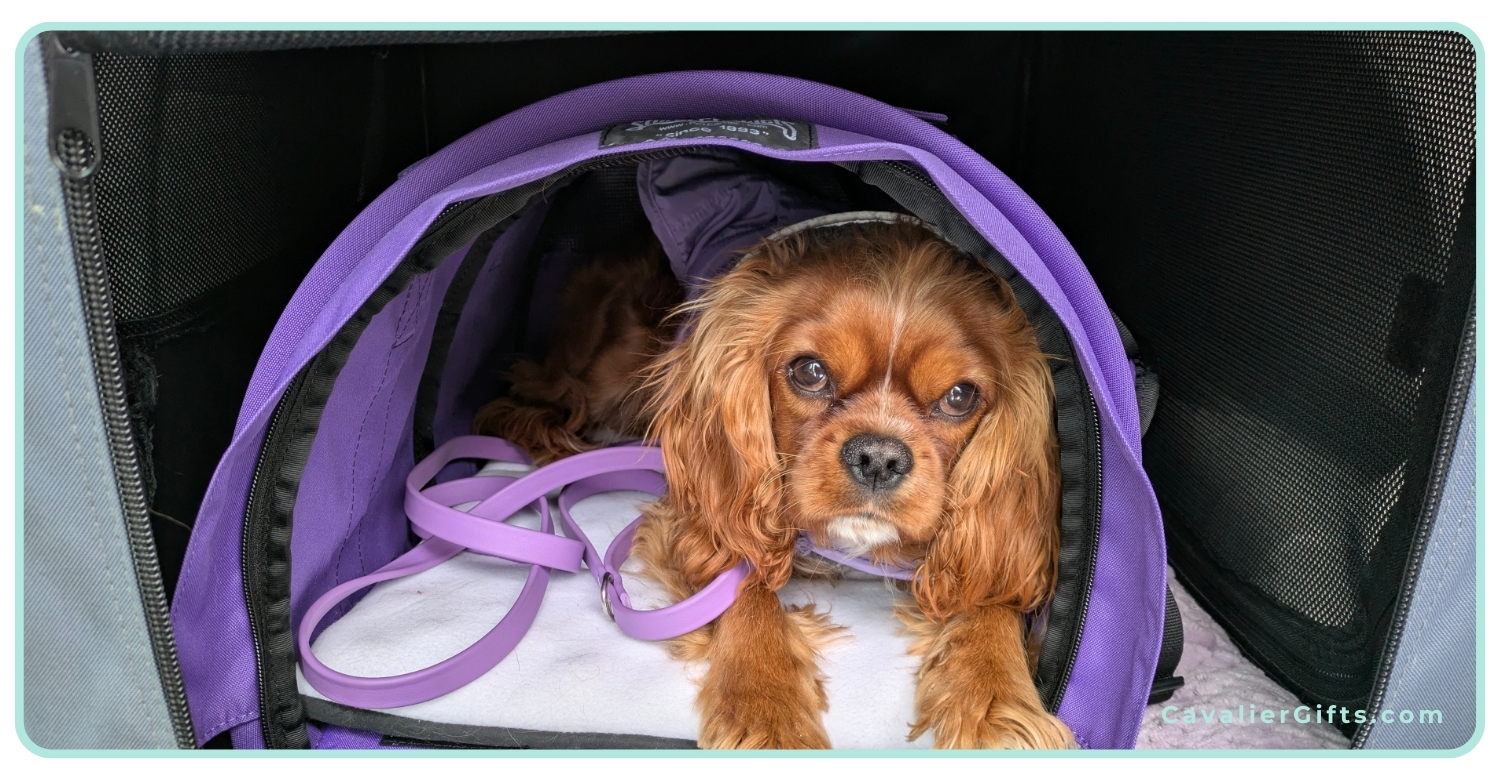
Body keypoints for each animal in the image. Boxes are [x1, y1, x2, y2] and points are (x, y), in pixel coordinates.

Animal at [474, 217, 1074, 750]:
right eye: (809, 371)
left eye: (959, 397)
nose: (879, 457)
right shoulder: (694, 517)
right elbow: (745, 584)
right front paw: (764, 709)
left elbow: (991, 596)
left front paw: (997, 703)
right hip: (598, 375)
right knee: (518, 403)